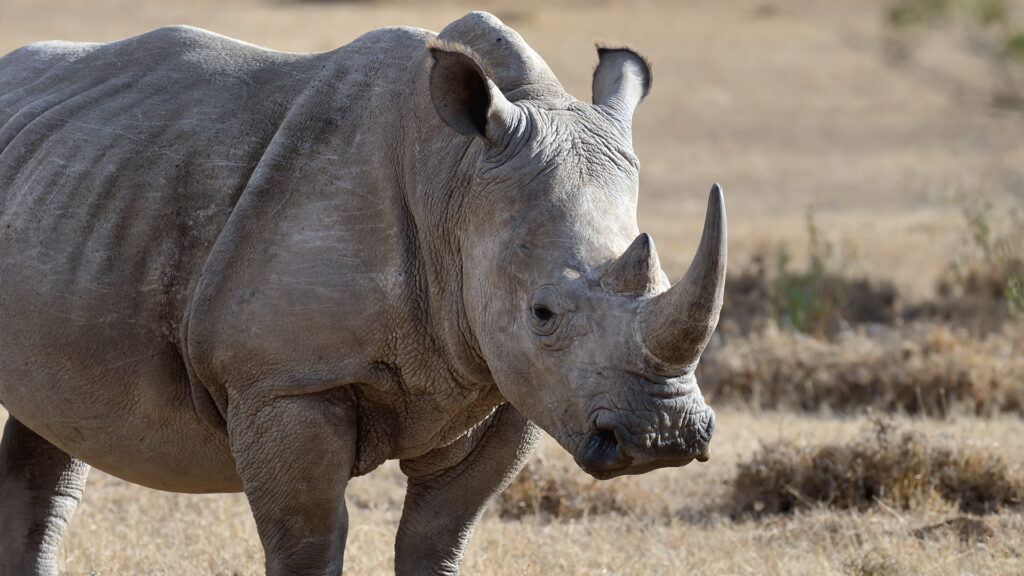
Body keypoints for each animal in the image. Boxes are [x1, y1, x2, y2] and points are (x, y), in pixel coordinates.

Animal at [0, 11, 725, 575]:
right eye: (543, 313)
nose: (664, 436)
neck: (455, 179)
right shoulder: (289, 382)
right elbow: (309, 544)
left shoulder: (509, 389)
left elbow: (437, 538)